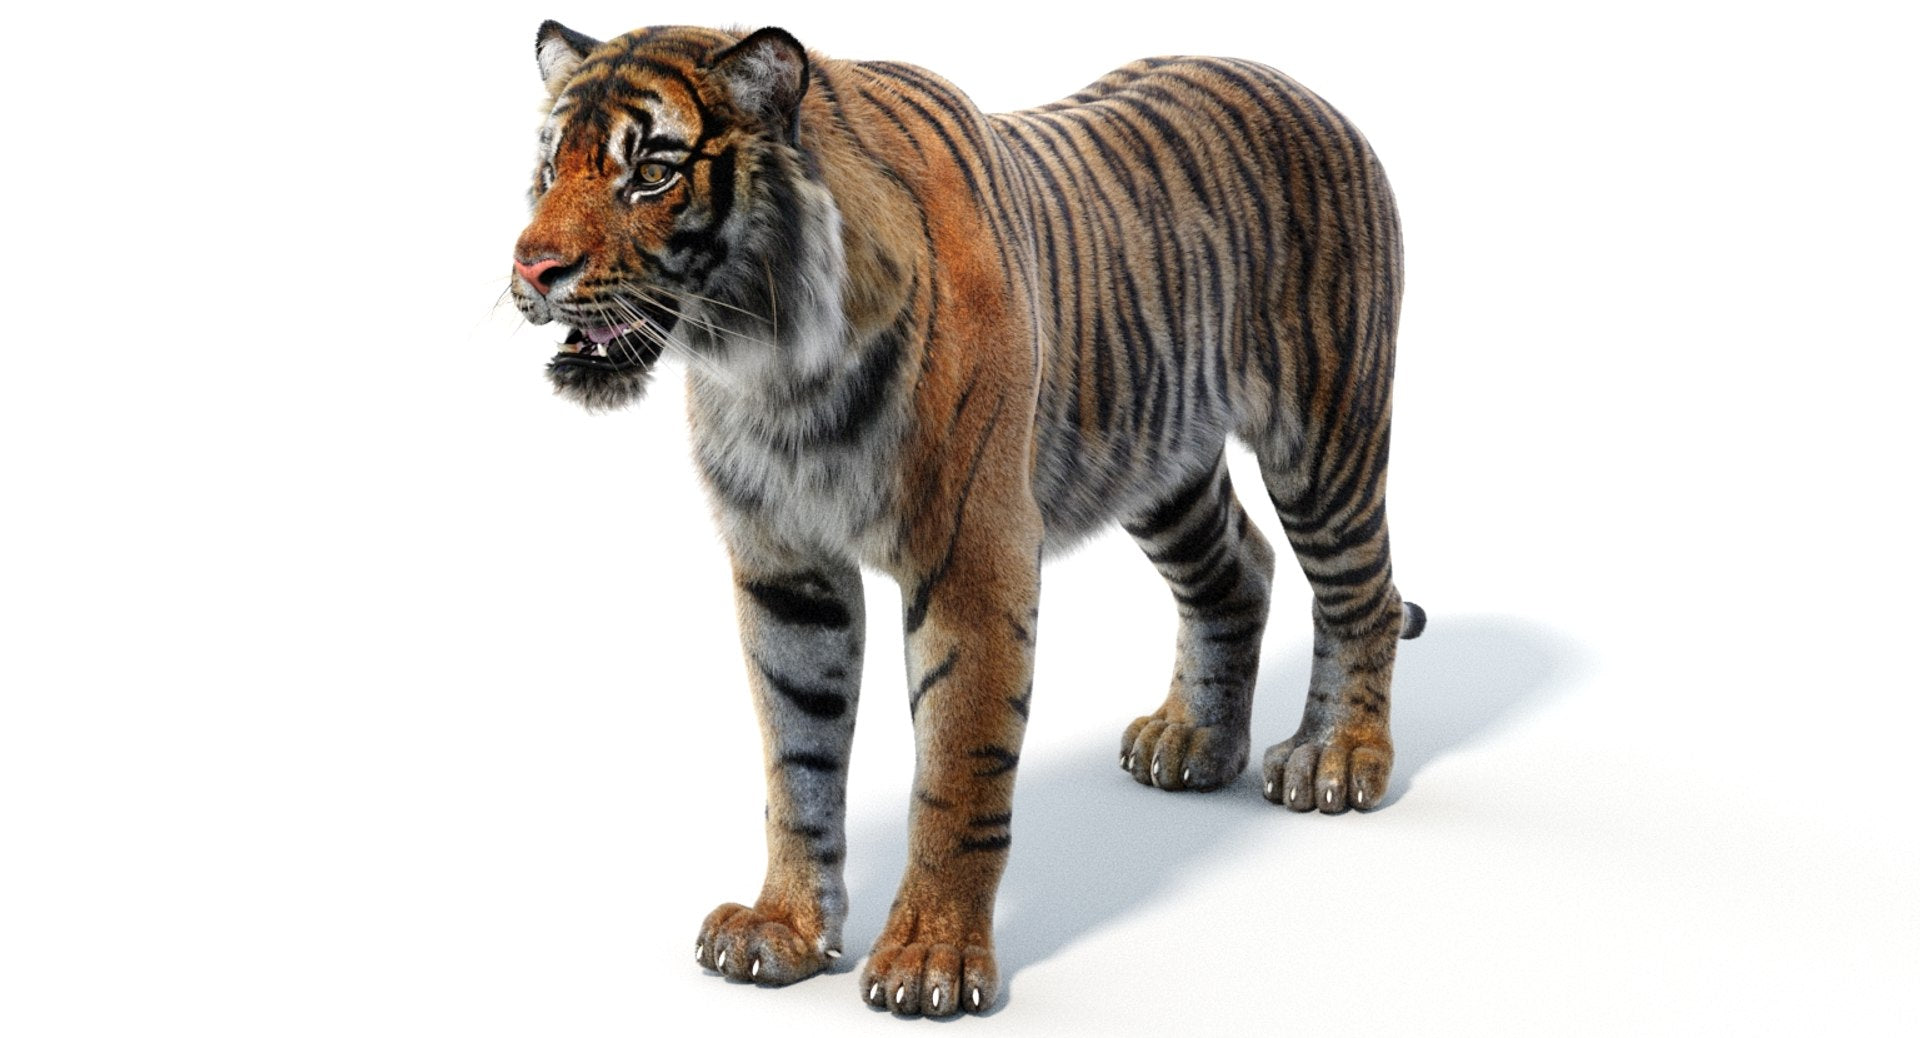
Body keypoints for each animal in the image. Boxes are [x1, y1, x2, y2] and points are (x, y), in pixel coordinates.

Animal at [509, 22, 1423, 1016]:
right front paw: (785, 931)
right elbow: (796, 758)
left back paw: (1334, 758)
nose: (532, 266)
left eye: (650, 173)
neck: (769, 361)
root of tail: (1303, 89)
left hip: (1324, 430)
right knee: (1240, 568)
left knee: (1361, 594)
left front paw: (929, 960)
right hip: (1159, 460)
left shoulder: (972, 556)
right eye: (549, 168)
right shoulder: (785, 567)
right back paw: (1192, 743)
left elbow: (957, 770)